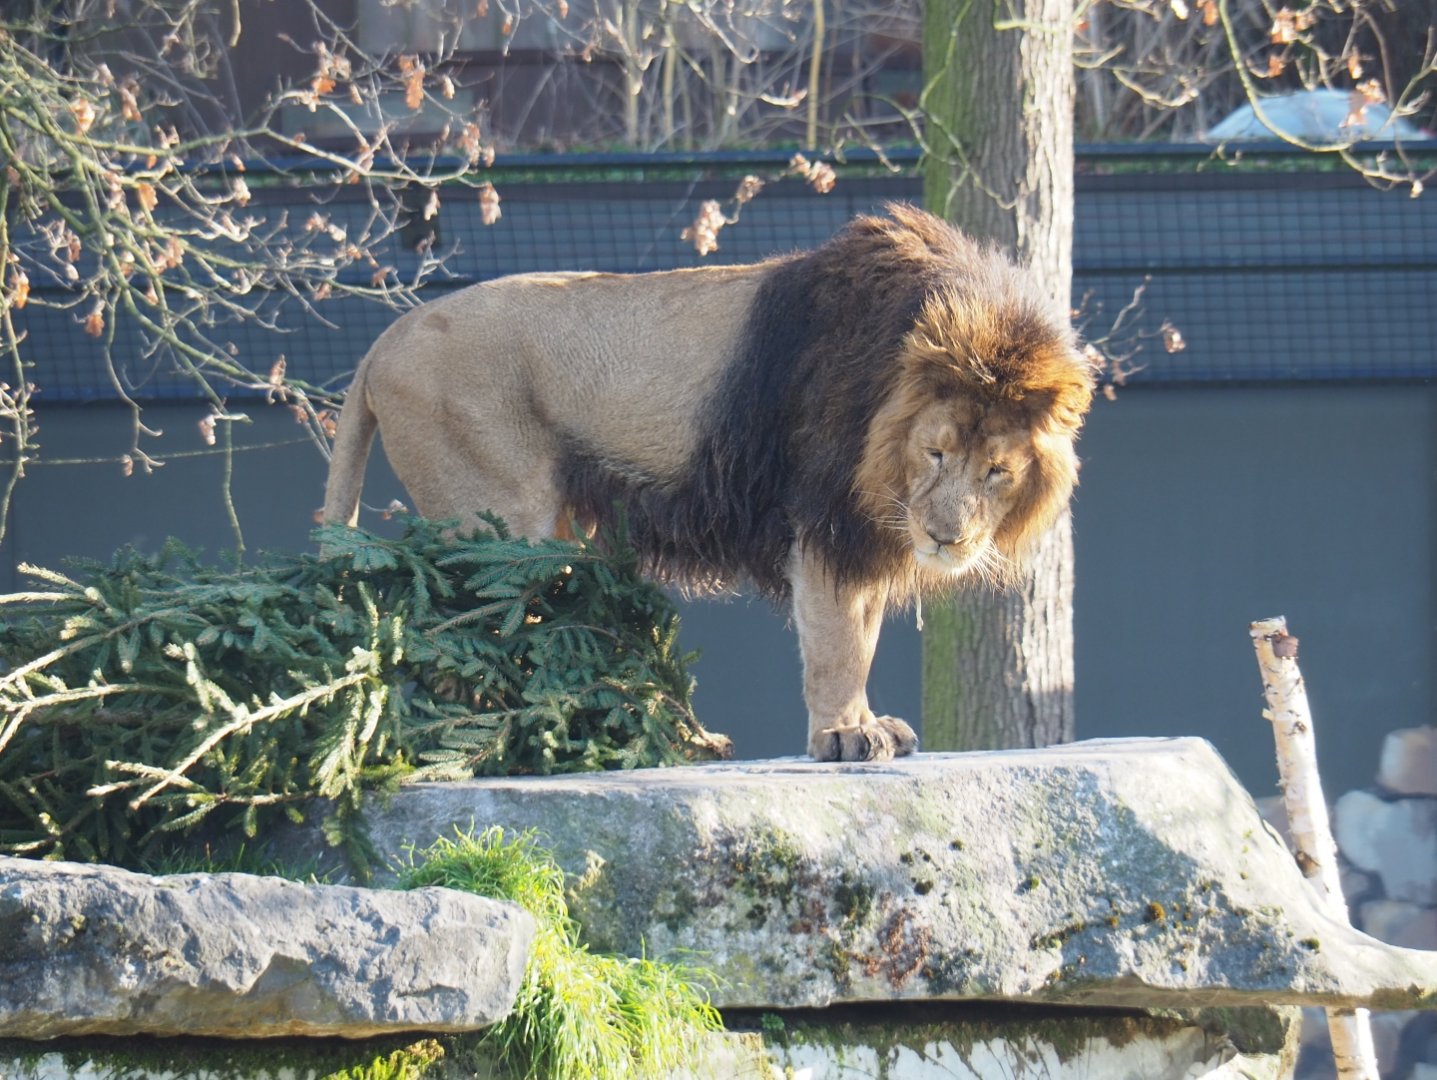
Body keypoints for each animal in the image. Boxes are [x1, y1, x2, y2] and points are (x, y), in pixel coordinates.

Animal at [322, 203, 1095, 763]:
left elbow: (865, 636)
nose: (944, 538)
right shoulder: (822, 520)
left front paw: (869, 723)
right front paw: (844, 736)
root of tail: (384, 340)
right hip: (500, 522)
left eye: (997, 471)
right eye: (934, 453)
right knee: (456, 637)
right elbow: (838, 643)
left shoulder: (866, 536)